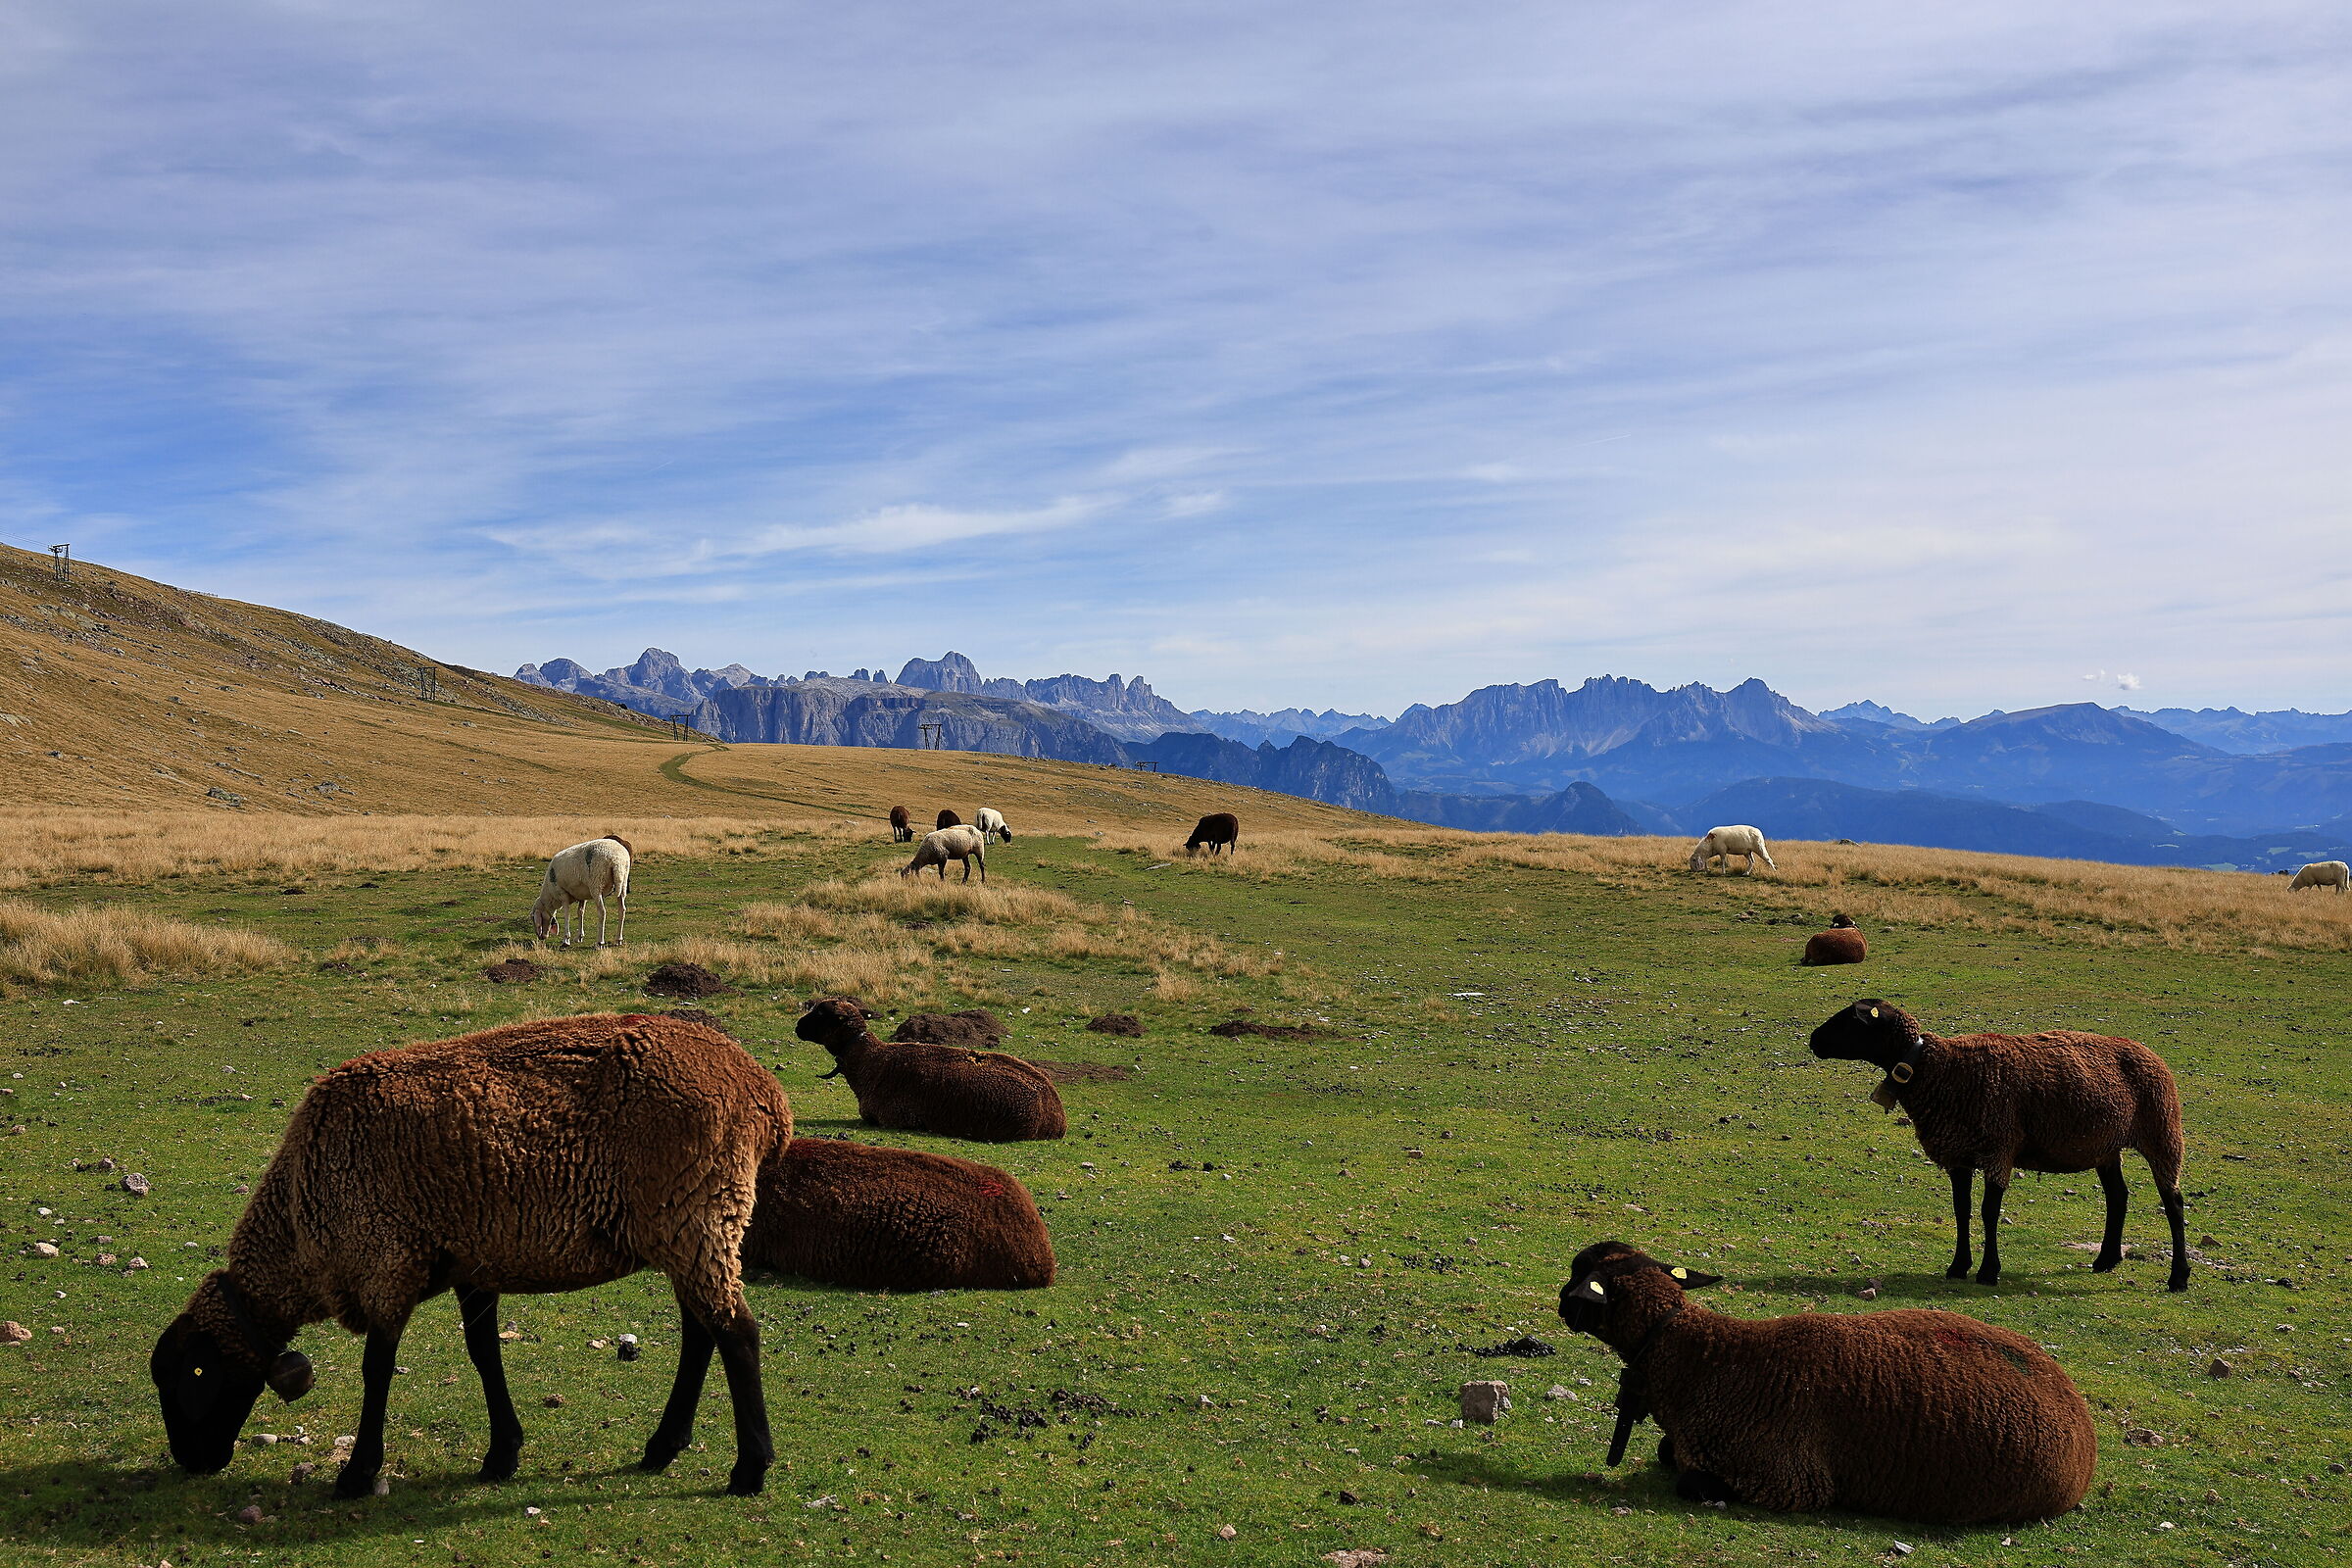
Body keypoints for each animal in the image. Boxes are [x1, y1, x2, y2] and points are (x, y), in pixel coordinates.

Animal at [150, 1013, 791, 1498]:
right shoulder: (473, 1261)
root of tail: (763, 1090)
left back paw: (750, 1468)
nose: (190, 1461)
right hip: (685, 1225)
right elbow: (484, 1354)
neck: (299, 1219)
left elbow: (377, 1368)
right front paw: (501, 1455)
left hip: (698, 1210)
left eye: (196, 1372)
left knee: (737, 1331)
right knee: (702, 1331)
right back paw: (663, 1447)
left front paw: (358, 1473)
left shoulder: (387, 1261)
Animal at [1557, 1241, 2096, 1522]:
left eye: (1582, 1276)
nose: (1561, 1303)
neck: (1709, 1360)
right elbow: (1668, 1450)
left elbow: (1690, 1479)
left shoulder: (1786, 1479)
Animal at [1809, 999, 2190, 1291]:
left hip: (2162, 1132)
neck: (1937, 1069)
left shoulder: (1998, 1148)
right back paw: (2106, 1260)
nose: (1813, 1040)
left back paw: (2179, 1278)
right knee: (2118, 1196)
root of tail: (2151, 1054)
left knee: (2173, 1203)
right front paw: (1958, 1266)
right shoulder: (1959, 1154)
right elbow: (1961, 1210)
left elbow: (1988, 1212)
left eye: (1850, 1020)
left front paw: (1989, 1271)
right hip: (2106, 1146)